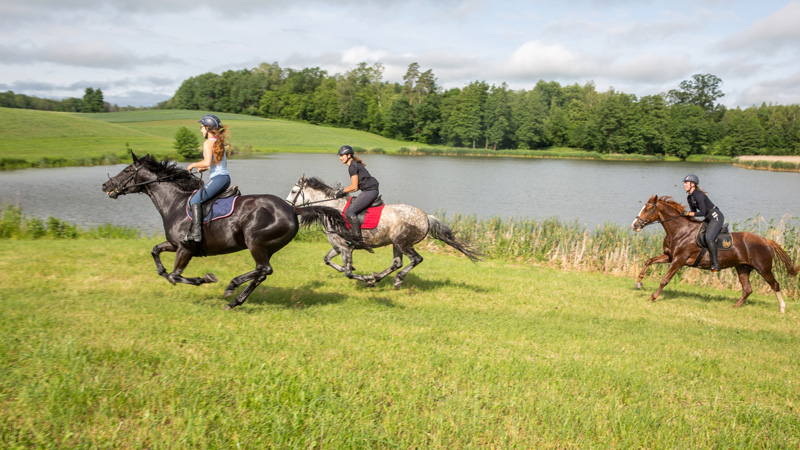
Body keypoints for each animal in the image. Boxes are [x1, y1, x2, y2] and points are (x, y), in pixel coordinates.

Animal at [102, 153, 351, 309]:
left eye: (126, 170)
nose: (105, 185)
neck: (174, 202)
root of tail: (292, 209)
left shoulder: (185, 248)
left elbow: (176, 274)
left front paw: (204, 279)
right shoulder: (173, 244)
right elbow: (156, 252)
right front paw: (164, 273)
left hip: (255, 242)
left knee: (263, 269)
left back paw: (231, 286)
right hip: (267, 247)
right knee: (261, 273)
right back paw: (234, 301)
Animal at [286, 176, 482, 287]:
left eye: (294, 191)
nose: (287, 205)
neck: (333, 209)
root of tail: (426, 217)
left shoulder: (346, 248)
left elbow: (349, 273)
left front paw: (364, 278)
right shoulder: (338, 246)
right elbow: (327, 260)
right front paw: (349, 271)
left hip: (403, 243)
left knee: (415, 260)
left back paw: (394, 279)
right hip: (396, 244)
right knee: (397, 263)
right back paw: (378, 278)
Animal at [631, 195, 798, 312]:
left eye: (647, 209)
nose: (635, 225)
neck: (680, 230)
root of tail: (766, 240)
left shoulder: (679, 259)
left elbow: (665, 279)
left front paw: (653, 296)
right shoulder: (669, 256)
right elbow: (649, 261)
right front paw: (639, 282)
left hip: (763, 268)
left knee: (774, 284)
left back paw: (782, 308)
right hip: (743, 268)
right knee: (747, 289)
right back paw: (735, 306)